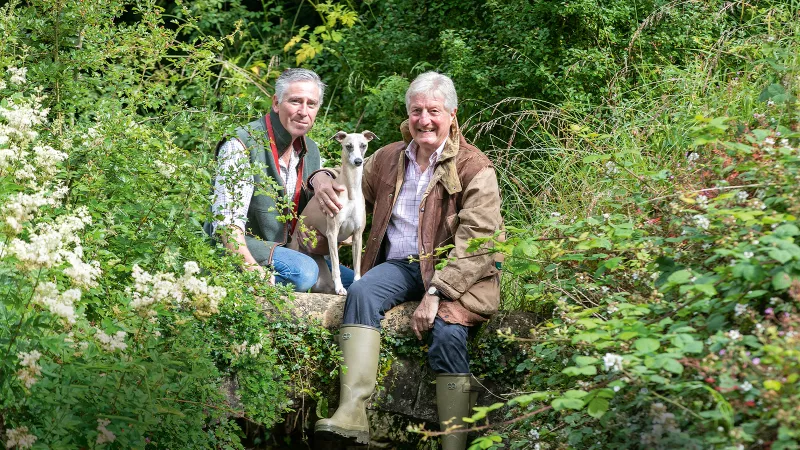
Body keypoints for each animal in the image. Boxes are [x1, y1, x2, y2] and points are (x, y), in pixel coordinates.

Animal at [290, 130, 376, 296]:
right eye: (348, 146)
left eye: (363, 145)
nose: (358, 161)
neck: (351, 191)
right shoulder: (332, 232)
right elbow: (336, 266)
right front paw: (340, 288)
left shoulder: (357, 235)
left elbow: (357, 265)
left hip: (321, 276)